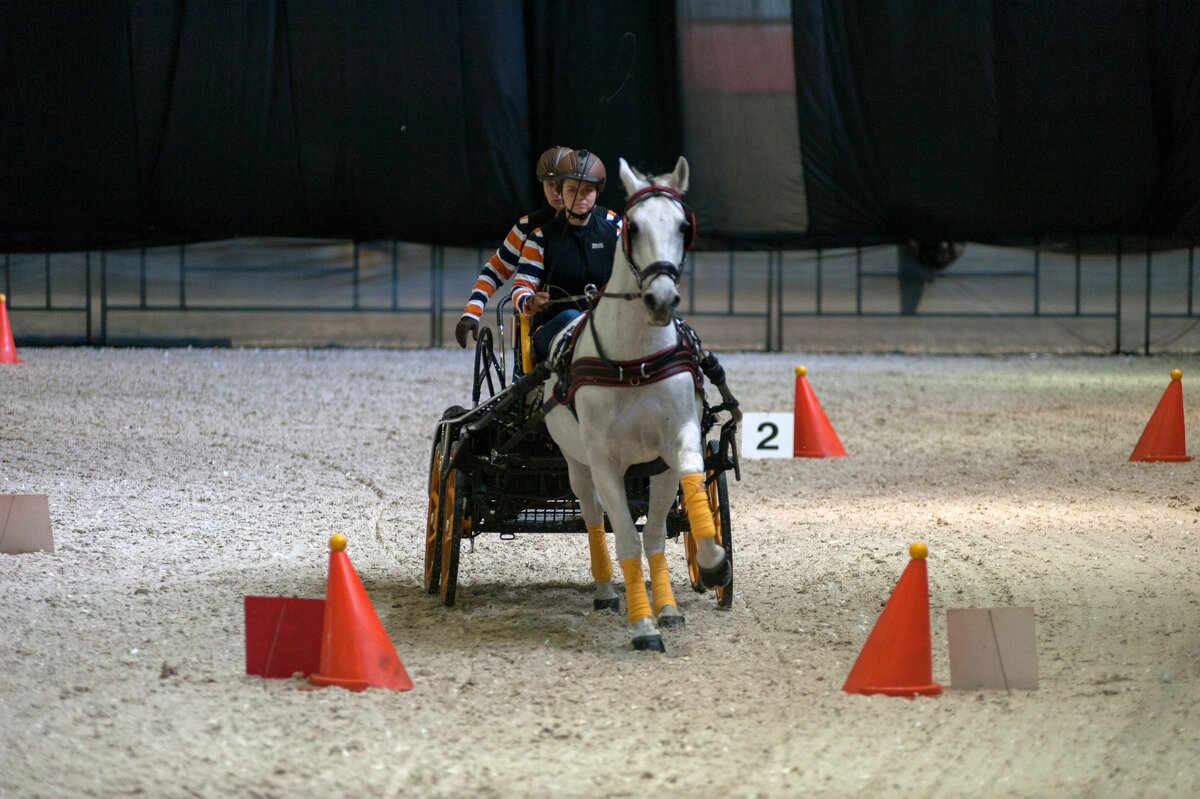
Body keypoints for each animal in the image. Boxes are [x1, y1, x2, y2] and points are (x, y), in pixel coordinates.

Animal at [547, 153, 729, 647]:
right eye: (632, 226)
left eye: (684, 226)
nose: (660, 298)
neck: (635, 361)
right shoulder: (604, 461)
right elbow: (627, 538)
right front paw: (643, 624)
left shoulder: (674, 446)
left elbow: (671, 519)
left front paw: (708, 567)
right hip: (575, 462)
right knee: (592, 515)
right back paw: (607, 590)